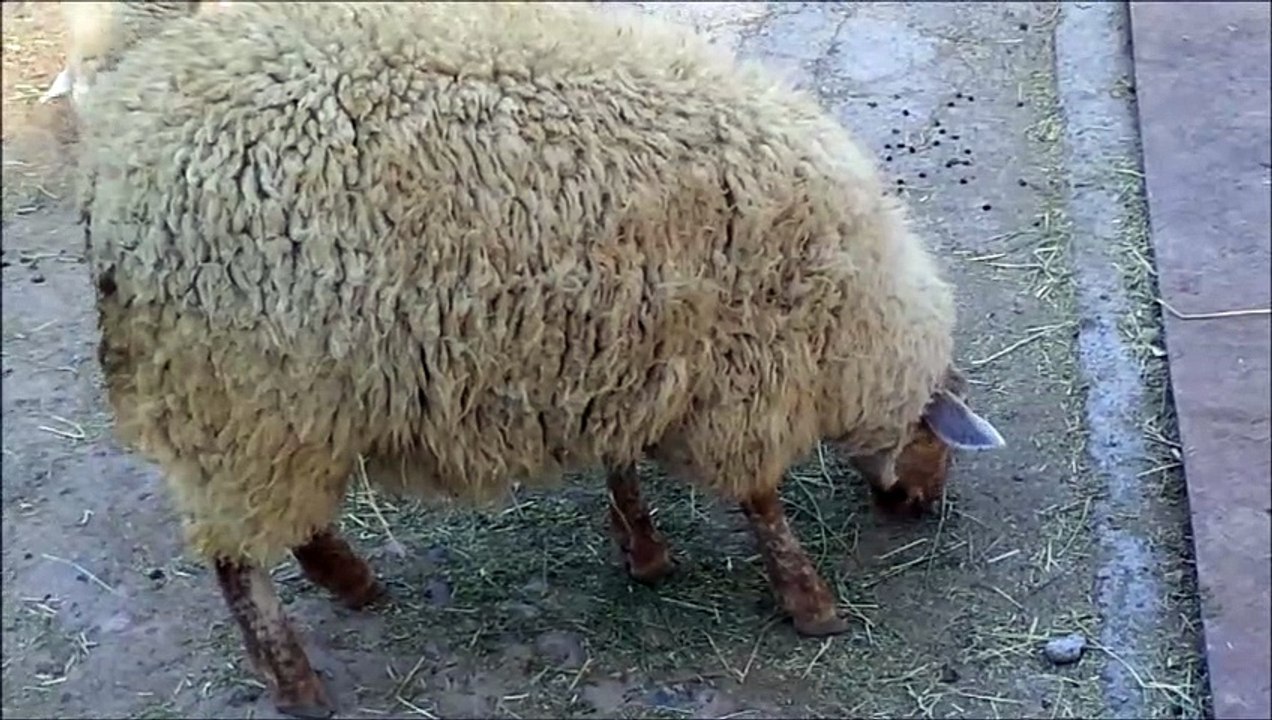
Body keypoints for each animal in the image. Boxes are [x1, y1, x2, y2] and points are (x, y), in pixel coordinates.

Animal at [74, 2, 1005, 716]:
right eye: (936, 439)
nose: (920, 507)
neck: (849, 311)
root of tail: (115, 163)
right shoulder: (740, 379)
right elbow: (761, 503)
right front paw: (810, 604)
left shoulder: (634, 358)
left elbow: (625, 465)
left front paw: (643, 550)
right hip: (241, 396)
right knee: (237, 562)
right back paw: (300, 683)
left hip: (278, 413)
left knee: (286, 527)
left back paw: (352, 585)